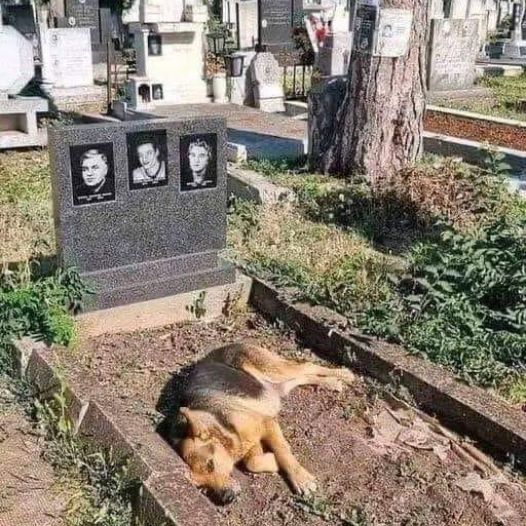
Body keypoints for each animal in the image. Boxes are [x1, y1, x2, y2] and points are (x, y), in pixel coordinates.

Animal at [175, 342, 356, 508]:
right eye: (202, 487)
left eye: (210, 464)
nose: (227, 498)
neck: (220, 425)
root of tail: (227, 344)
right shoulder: (250, 441)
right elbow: (253, 462)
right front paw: (273, 462)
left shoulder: (266, 423)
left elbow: (281, 452)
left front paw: (300, 479)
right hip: (278, 385)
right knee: (302, 377)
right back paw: (332, 383)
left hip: (276, 370)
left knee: (306, 366)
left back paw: (343, 374)